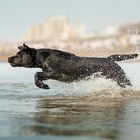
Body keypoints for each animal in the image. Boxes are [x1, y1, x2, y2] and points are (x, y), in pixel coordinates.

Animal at [7, 43, 138, 89]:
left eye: (19, 54)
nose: (8, 58)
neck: (42, 57)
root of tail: (109, 59)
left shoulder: (56, 74)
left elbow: (36, 74)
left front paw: (43, 86)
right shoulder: (48, 73)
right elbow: (39, 75)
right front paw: (42, 85)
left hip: (121, 78)